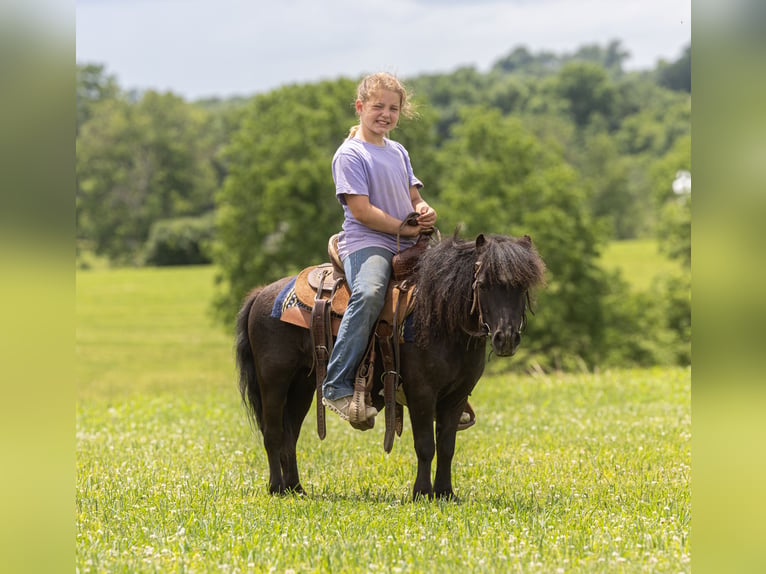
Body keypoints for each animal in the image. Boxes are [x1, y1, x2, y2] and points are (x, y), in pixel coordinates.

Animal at [235, 232, 546, 500]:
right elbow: (425, 445)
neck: (440, 319)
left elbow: (447, 446)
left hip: (301, 385)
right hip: (274, 381)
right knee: (273, 432)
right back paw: (276, 487)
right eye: (483, 285)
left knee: (290, 434)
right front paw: (422, 493)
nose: (506, 337)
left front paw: (446, 493)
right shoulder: (422, 392)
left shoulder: (456, 396)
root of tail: (262, 293)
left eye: (522, 287)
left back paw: (295, 488)